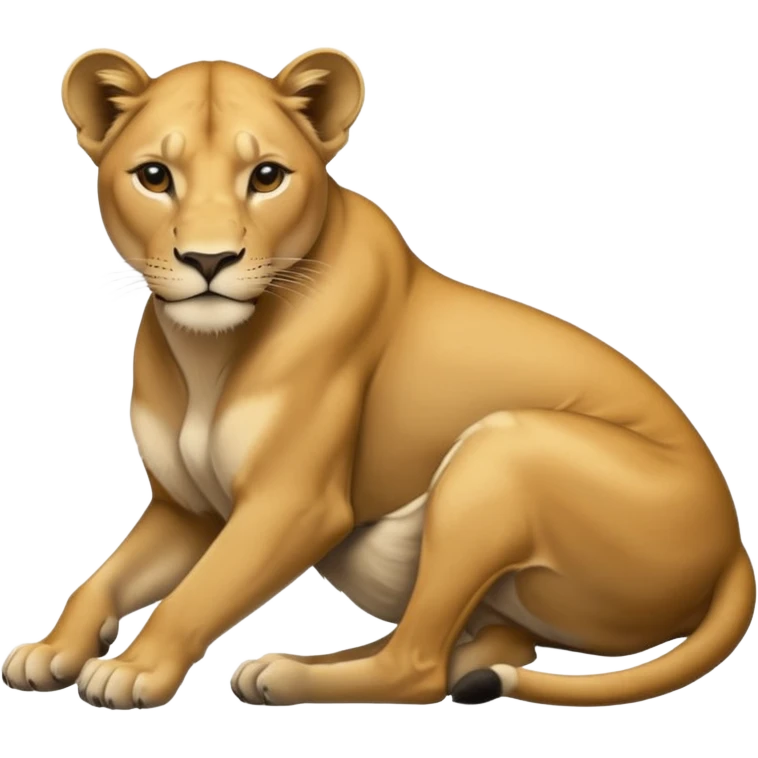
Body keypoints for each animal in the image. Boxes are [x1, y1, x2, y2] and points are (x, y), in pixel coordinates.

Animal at [3, 47, 753, 710]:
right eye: (155, 176)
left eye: (267, 176)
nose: (209, 261)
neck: (208, 352)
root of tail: (733, 553)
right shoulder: (188, 513)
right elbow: (103, 580)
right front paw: (50, 651)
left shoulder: (294, 504)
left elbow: (199, 593)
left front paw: (132, 671)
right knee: (473, 647)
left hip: (505, 448)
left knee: (420, 666)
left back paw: (286, 675)